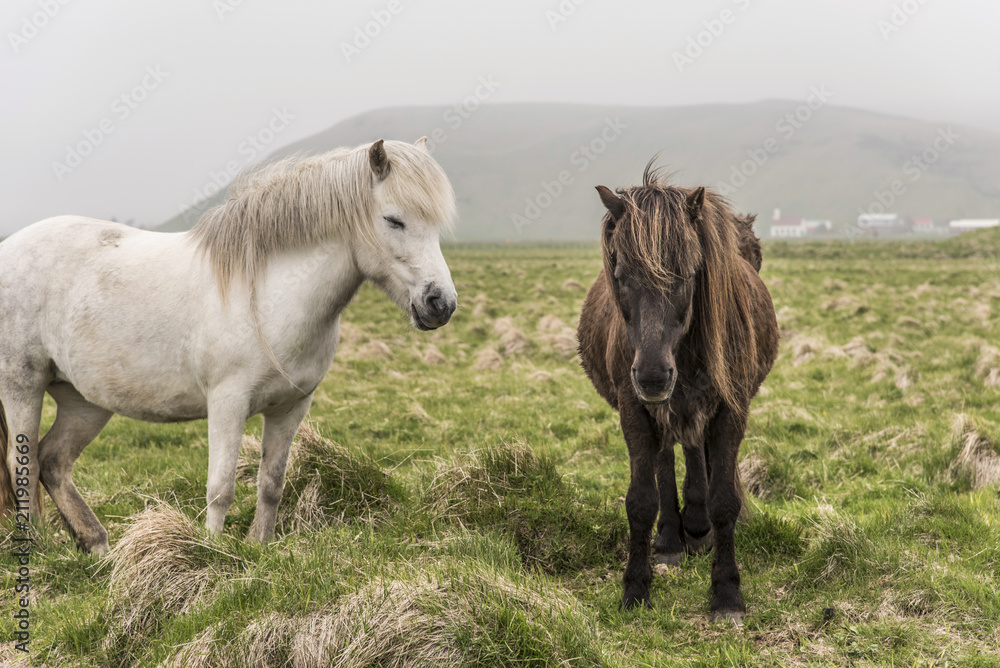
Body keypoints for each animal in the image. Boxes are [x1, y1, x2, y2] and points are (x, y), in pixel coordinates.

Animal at [0, 138, 458, 555]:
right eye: (394, 220)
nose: (441, 304)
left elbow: (272, 482)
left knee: (54, 462)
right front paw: (210, 553)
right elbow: (220, 488)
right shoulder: (227, 403)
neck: (273, 294)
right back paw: (37, 548)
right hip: (23, 387)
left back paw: (96, 544)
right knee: (25, 463)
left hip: (84, 400)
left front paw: (259, 546)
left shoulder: (292, 407)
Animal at [577, 164, 779, 623]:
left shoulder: (730, 409)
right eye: (621, 277)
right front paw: (635, 589)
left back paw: (697, 529)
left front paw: (727, 594)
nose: (652, 377)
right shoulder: (634, 410)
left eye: (687, 274)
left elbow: (724, 500)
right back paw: (672, 538)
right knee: (668, 460)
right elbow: (641, 500)